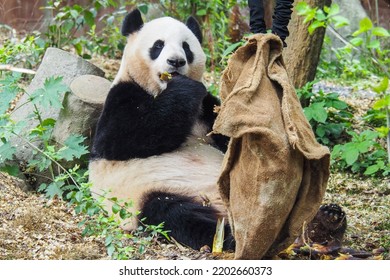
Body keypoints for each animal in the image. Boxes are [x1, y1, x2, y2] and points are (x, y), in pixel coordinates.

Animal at [89, 8, 232, 250]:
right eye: (158, 45)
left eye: (186, 47)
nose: (176, 61)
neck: (160, 89)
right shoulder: (122, 95)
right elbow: (121, 139)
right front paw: (185, 88)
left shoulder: (206, 109)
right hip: (151, 194)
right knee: (174, 213)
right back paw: (230, 237)